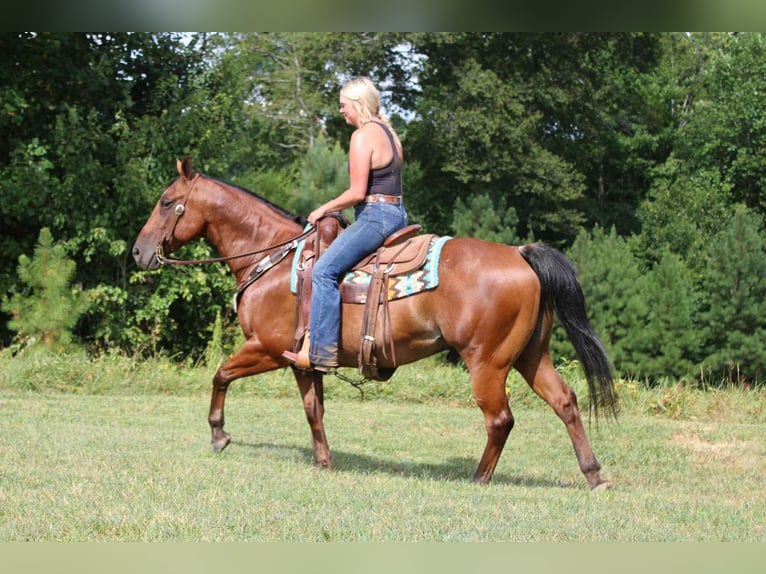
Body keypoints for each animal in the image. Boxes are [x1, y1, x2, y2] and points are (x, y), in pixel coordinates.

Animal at [132, 157, 617, 489]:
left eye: (166, 202)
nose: (138, 252)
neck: (273, 258)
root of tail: (519, 253)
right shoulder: (302, 359)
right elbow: (313, 409)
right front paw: (323, 461)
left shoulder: (266, 347)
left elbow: (220, 375)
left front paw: (219, 434)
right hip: (531, 355)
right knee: (566, 402)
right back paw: (594, 474)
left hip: (488, 362)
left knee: (500, 419)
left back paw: (480, 477)